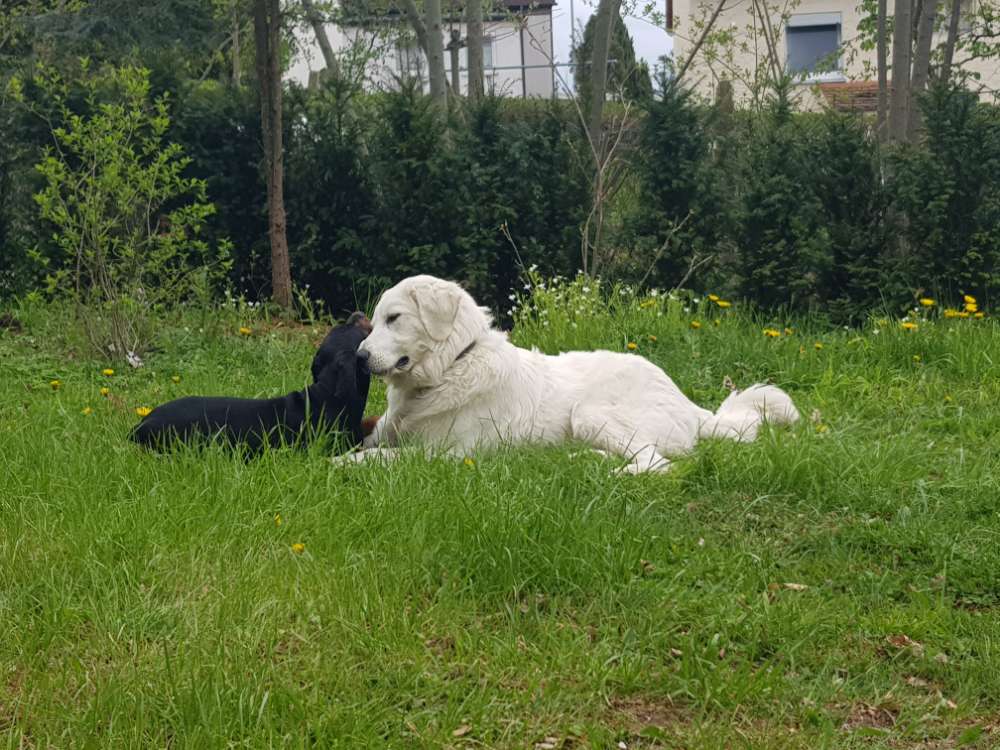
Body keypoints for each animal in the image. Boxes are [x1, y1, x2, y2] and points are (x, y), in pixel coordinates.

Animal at [340, 276, 800, 476]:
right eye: (374, 321)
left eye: (394, 319)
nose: (359, 358)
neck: (453, 365)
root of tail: (688, 404)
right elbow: (369, 441)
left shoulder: (449, 454)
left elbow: (385, 456)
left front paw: (346, 464)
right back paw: (582, 459)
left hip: (589, 412)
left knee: (657, 463)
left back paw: (613, 475)